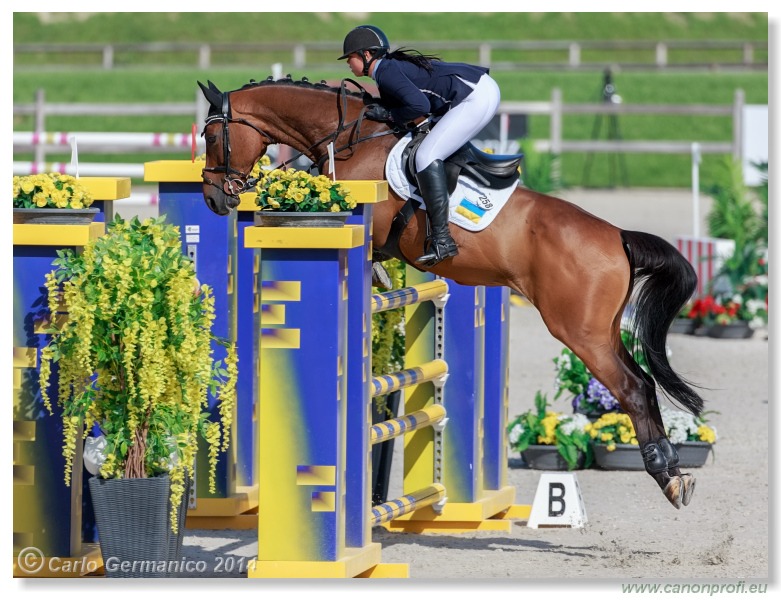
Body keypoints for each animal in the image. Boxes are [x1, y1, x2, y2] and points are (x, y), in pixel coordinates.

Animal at [198, 74, 704, 506]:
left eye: (211, 138)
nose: (214, 197)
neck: (348, 138)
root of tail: (616, 236)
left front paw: (379, 274)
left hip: (580, 331)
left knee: (633, 387)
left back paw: (667, 477)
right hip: (603, 329)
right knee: (644, 382)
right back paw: (672, 470)